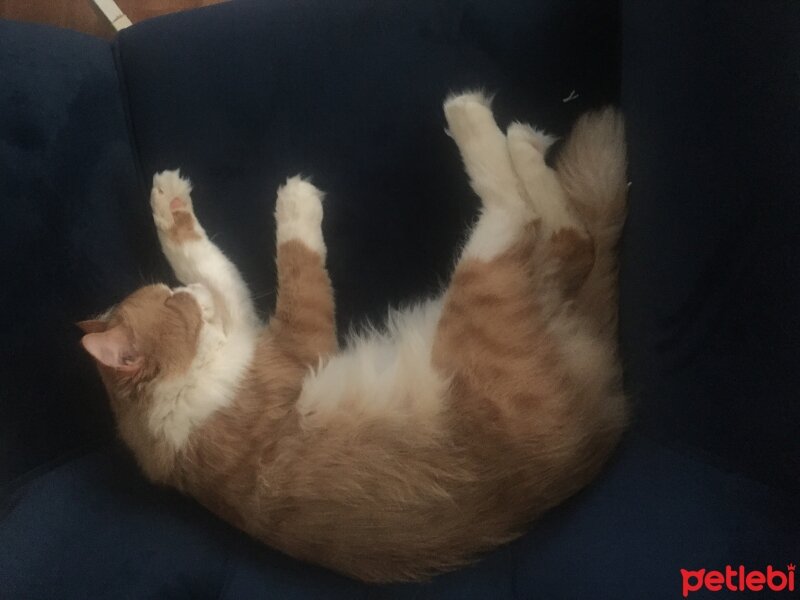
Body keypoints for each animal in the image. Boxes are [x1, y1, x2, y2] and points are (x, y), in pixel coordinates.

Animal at [81, 92, 632, 580]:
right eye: (173, 305)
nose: (185, 293)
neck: (178, 401)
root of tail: (599, 425)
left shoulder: (247, 325)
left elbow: (206, 259)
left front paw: (169, 203)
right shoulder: (296, 346)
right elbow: (295, 256)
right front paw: (295, 202)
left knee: (573, 241)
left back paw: (524, 143)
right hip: (482, 283)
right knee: (520, 214)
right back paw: (473, 116)